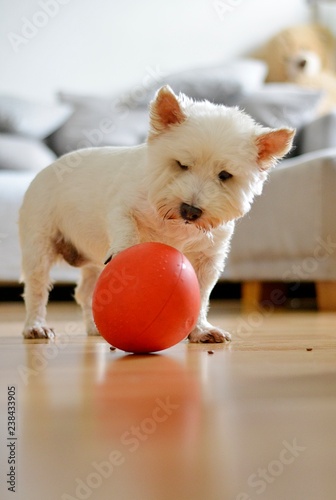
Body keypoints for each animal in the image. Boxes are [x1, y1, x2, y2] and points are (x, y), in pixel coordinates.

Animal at [18, 87, 294, 344]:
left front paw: (201, 330)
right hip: (39, 242)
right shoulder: (122, 208)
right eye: (182, 164)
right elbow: (126, 231)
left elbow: (202, 293)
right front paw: (126, 257)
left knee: (85, 291)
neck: (174, 223)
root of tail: (49, 168)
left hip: (92, 255)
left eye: (225, 175)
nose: (190, 211)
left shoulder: (209, 256)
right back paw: (36, 327)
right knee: (37, 287)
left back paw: (95, 327)